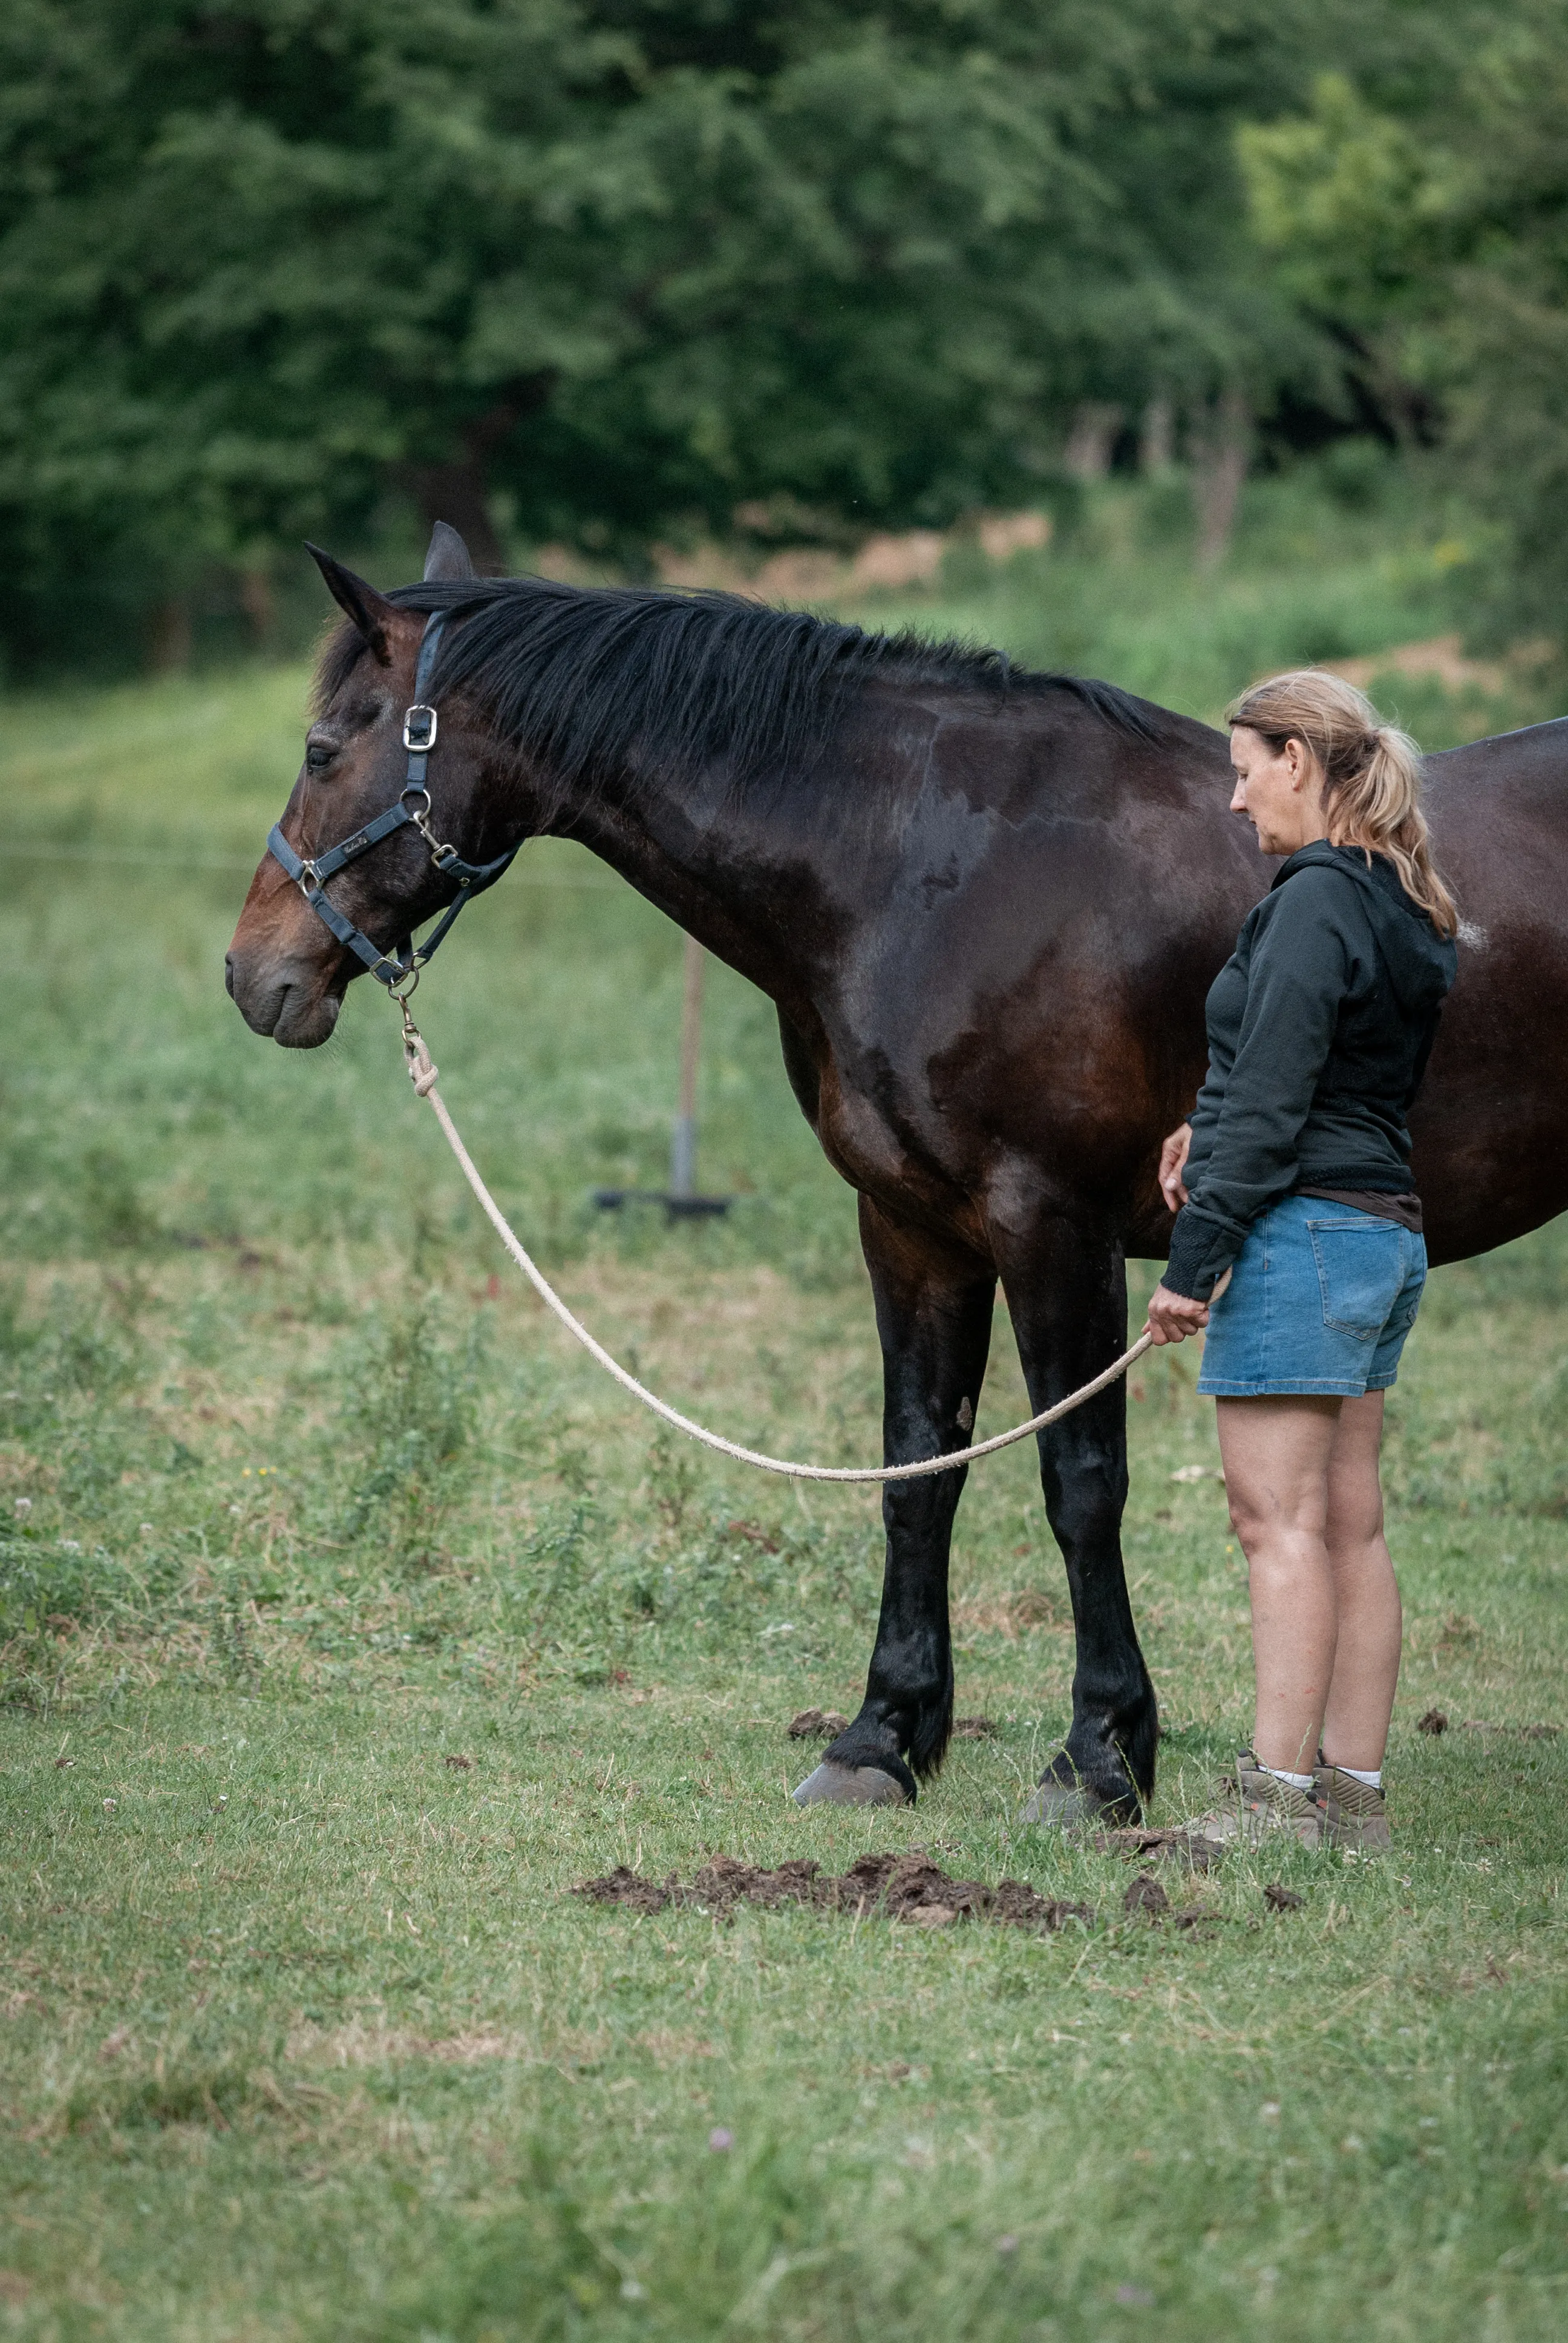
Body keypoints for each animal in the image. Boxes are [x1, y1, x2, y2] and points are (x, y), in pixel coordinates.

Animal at [226, 523, 1568, 1821]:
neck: (919, 866)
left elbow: (1081, 1482)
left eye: (322, 746)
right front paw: (882, 1738)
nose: (253, 973)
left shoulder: (1055, 1226)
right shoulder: (914, 1230)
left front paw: (1098, 1761)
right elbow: (918, 1471)